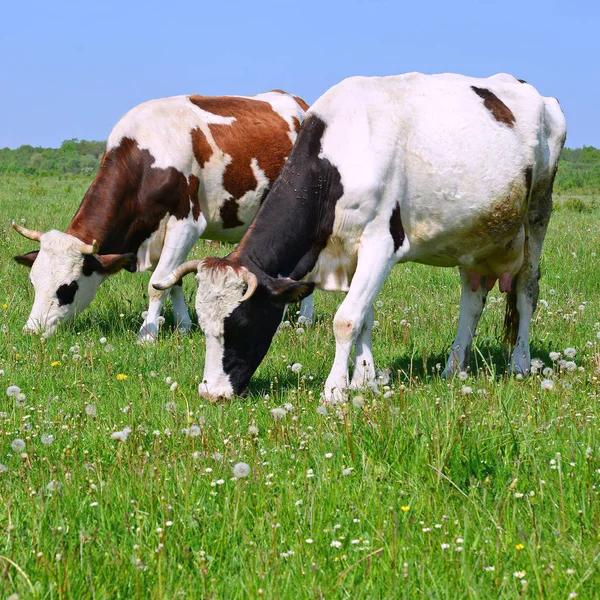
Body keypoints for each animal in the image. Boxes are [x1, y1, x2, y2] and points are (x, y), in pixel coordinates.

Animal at [12, 90, 314, 342]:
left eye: (67, 288)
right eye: (34, 282)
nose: (31, 331)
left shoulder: (186, 226)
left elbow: (157, 284)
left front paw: (147, 336)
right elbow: (173, 280)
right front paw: (183, 327)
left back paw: (305, 319)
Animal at [155, 74, 568, 404]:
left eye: (239, 324)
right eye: (204, 325)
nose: (212, 393)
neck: (338, 157)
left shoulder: (381, 244)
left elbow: (346, 319)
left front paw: (336, 389)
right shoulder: (350, 252)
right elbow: (365, 316)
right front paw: (364, 380)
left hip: (537, 213)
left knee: (527, 291)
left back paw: (519, 363)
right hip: (475, 235)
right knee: (472, 299)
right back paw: (454, 367)